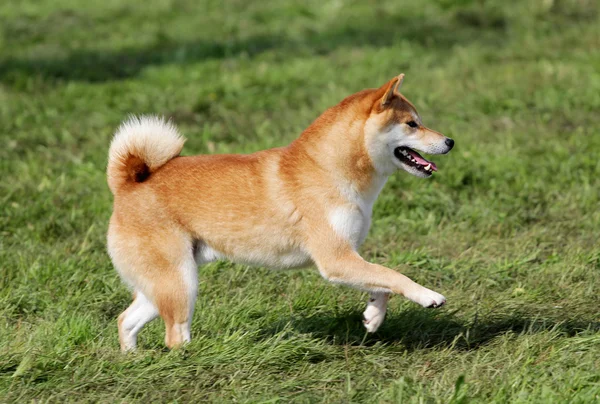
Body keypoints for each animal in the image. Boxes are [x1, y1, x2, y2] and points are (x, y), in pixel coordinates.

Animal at [108, 75, 454, 350]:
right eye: (412, 124)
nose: (450, 141)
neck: (328, 169)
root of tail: (128, 185)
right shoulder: (336, 259)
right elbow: (394, 275)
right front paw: (427, 295)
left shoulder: (347, 256)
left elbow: (381, 285)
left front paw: (373, 317)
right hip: (181, 281)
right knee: (175, 336)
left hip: (164, 283)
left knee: (126, 320)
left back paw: (134, 361)